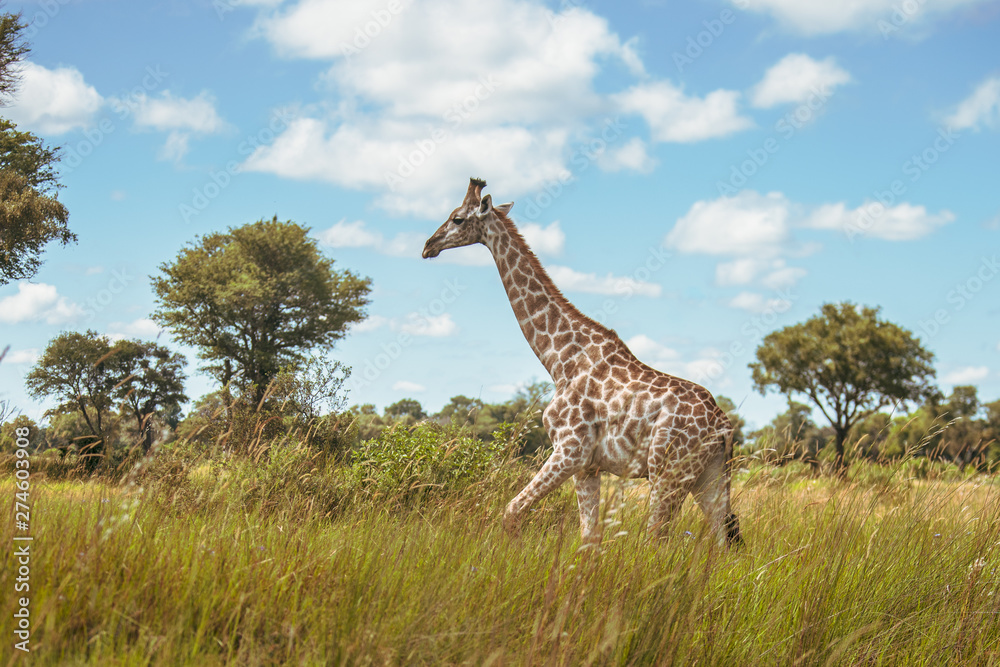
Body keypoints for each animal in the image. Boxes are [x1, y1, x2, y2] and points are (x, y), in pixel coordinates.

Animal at [422, 178, 742, 548]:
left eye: (457, 218)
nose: (428, 246)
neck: (559, 359)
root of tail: (723, 425)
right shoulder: (589, 464)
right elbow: (589, 537)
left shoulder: (570, 449)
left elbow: (512, 511)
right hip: (709, 474)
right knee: (722, 539)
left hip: (668, 471)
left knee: (656, 539)